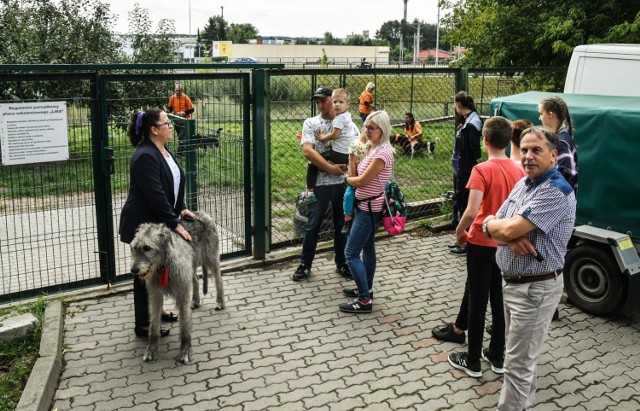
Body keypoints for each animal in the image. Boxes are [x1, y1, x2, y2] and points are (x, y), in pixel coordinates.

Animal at [129, 211, 224, 366]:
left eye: (147, 248)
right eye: (134, 247)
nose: (134, 270)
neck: (164, 265)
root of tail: (200, 213)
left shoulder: (182, 292)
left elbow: (185, 326)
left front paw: (185, 351)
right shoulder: (155, 295)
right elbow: (153, 325)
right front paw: (151, 349)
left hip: (210, 255)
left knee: (218, 279)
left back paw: (220, 302)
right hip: (191, 264)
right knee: (196, 279)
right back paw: (195, 301)